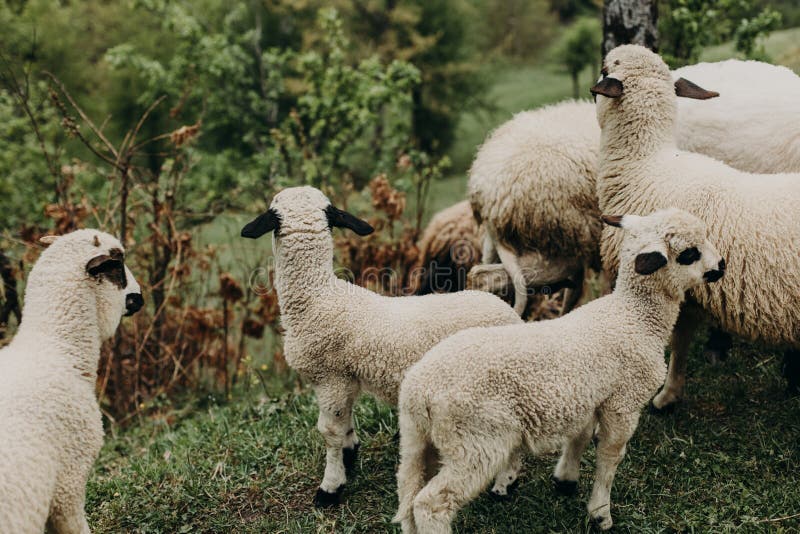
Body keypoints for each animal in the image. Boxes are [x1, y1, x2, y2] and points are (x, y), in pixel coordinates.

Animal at [238, 189, 524, 510]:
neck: (318, 297)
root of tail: (510, 314)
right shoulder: (346, 377)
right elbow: (346, 420)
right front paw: (350, 454)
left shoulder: (330, 377)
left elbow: (329, 432)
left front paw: (330, 488)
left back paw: (504, 484)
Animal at [394, 208, 724, 532]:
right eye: (689, 253)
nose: (721, 265)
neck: (633, 316)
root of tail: (418, 392)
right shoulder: (624, 403)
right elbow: (610, 456)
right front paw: (600, 513)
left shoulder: (590, 398)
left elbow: (579, 436)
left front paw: (566, 479)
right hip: (476, 441)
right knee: (431, 504)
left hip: (417, 439)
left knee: (408, 496)